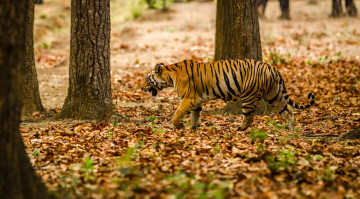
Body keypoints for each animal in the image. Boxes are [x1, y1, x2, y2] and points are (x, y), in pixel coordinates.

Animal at [141, 59, 316, 131]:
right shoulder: (196, 100)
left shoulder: (189, 98)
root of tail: (273, 68)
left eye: (147, 79)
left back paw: (240, 129)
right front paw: (194, 127)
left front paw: (179, 126)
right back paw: (291, 130)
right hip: (274, 95)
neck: (170, 75)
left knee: (249, 117)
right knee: (288, 111)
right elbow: (195, 115)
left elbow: (177, 113)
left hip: (249, 96)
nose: (141, 88)